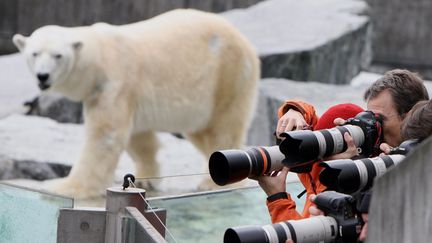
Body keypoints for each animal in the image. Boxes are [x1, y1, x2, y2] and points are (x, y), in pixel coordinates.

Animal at [13, 8, 260, 198]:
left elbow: (106, 136)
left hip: (227, 75)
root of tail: (245, 42)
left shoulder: (114, 83)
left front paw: (64, 186)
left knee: (223, 127)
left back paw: (214, 182)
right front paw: (144, 179)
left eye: (58, 56)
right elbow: (139, 138)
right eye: (34, 54)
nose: (43, 76)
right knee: (200, 131)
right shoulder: (126, 94)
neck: (100, 57)